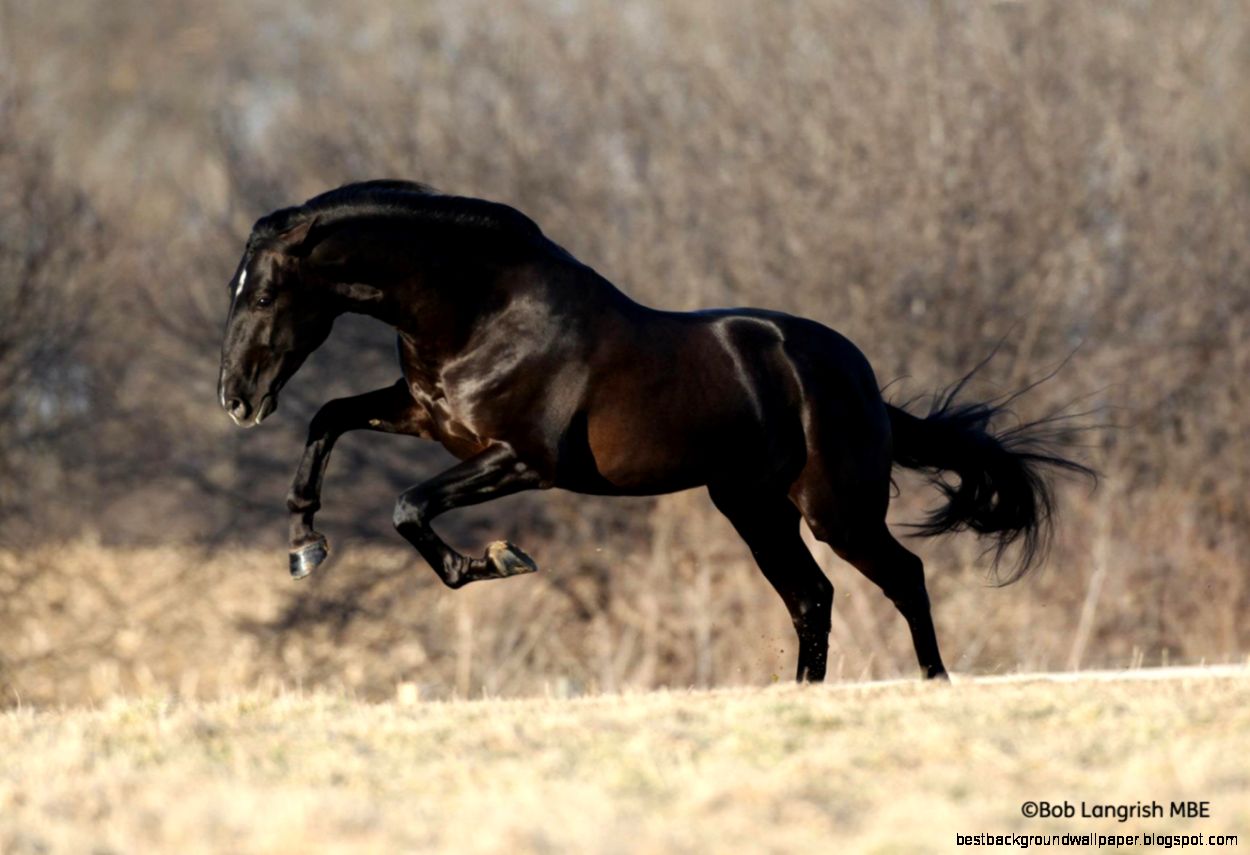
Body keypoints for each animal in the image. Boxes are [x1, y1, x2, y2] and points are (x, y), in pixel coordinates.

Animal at [217, 179, 1090, 682]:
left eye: (261, 295)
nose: (236, 398)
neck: (483, 307)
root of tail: (860, 379)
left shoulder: (521, 459)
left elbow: (407, 505)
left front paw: (495, 559)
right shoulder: (431, 421)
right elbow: (330, 420)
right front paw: (304, 543)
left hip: (835, 507)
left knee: (901, 575)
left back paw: (934, 684)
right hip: (753, 506)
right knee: (813, 596)